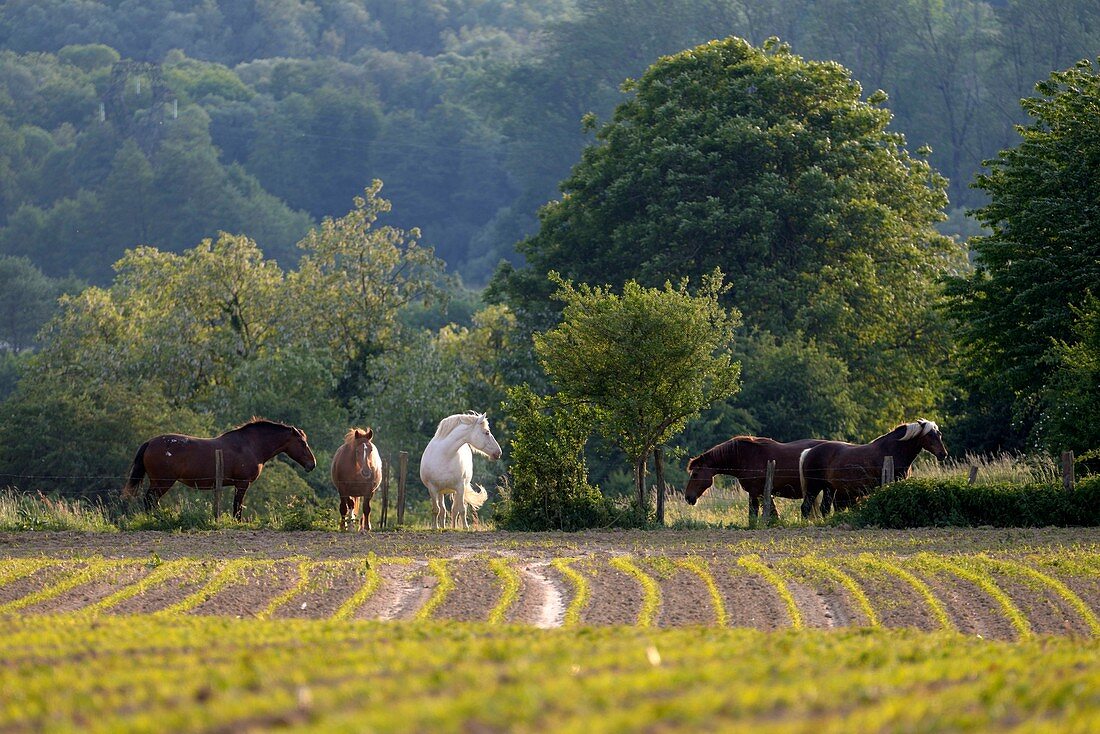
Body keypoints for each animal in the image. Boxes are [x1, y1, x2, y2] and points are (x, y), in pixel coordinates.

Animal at [122, 415, 316, 519]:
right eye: (302, 442)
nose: (312, 464)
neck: (250, 445)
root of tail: (150, 442)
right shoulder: (242, 484)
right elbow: (237, 508)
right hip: (163, 482)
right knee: (150, 500)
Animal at [682, 435, 827, 521]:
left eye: (695, 474)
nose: (688, 497)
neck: (746, 457)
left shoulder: (754, 492)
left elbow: (753, 513)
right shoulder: (763, 494)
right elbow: (773, 514)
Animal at [800, 418, 946, 517]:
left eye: (939, 434)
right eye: (929, 435)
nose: (943, 454)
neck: (892, 450)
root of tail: (809, 451)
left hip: (829, 488)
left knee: (824, 508)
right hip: (814, 487)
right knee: (805, 507)